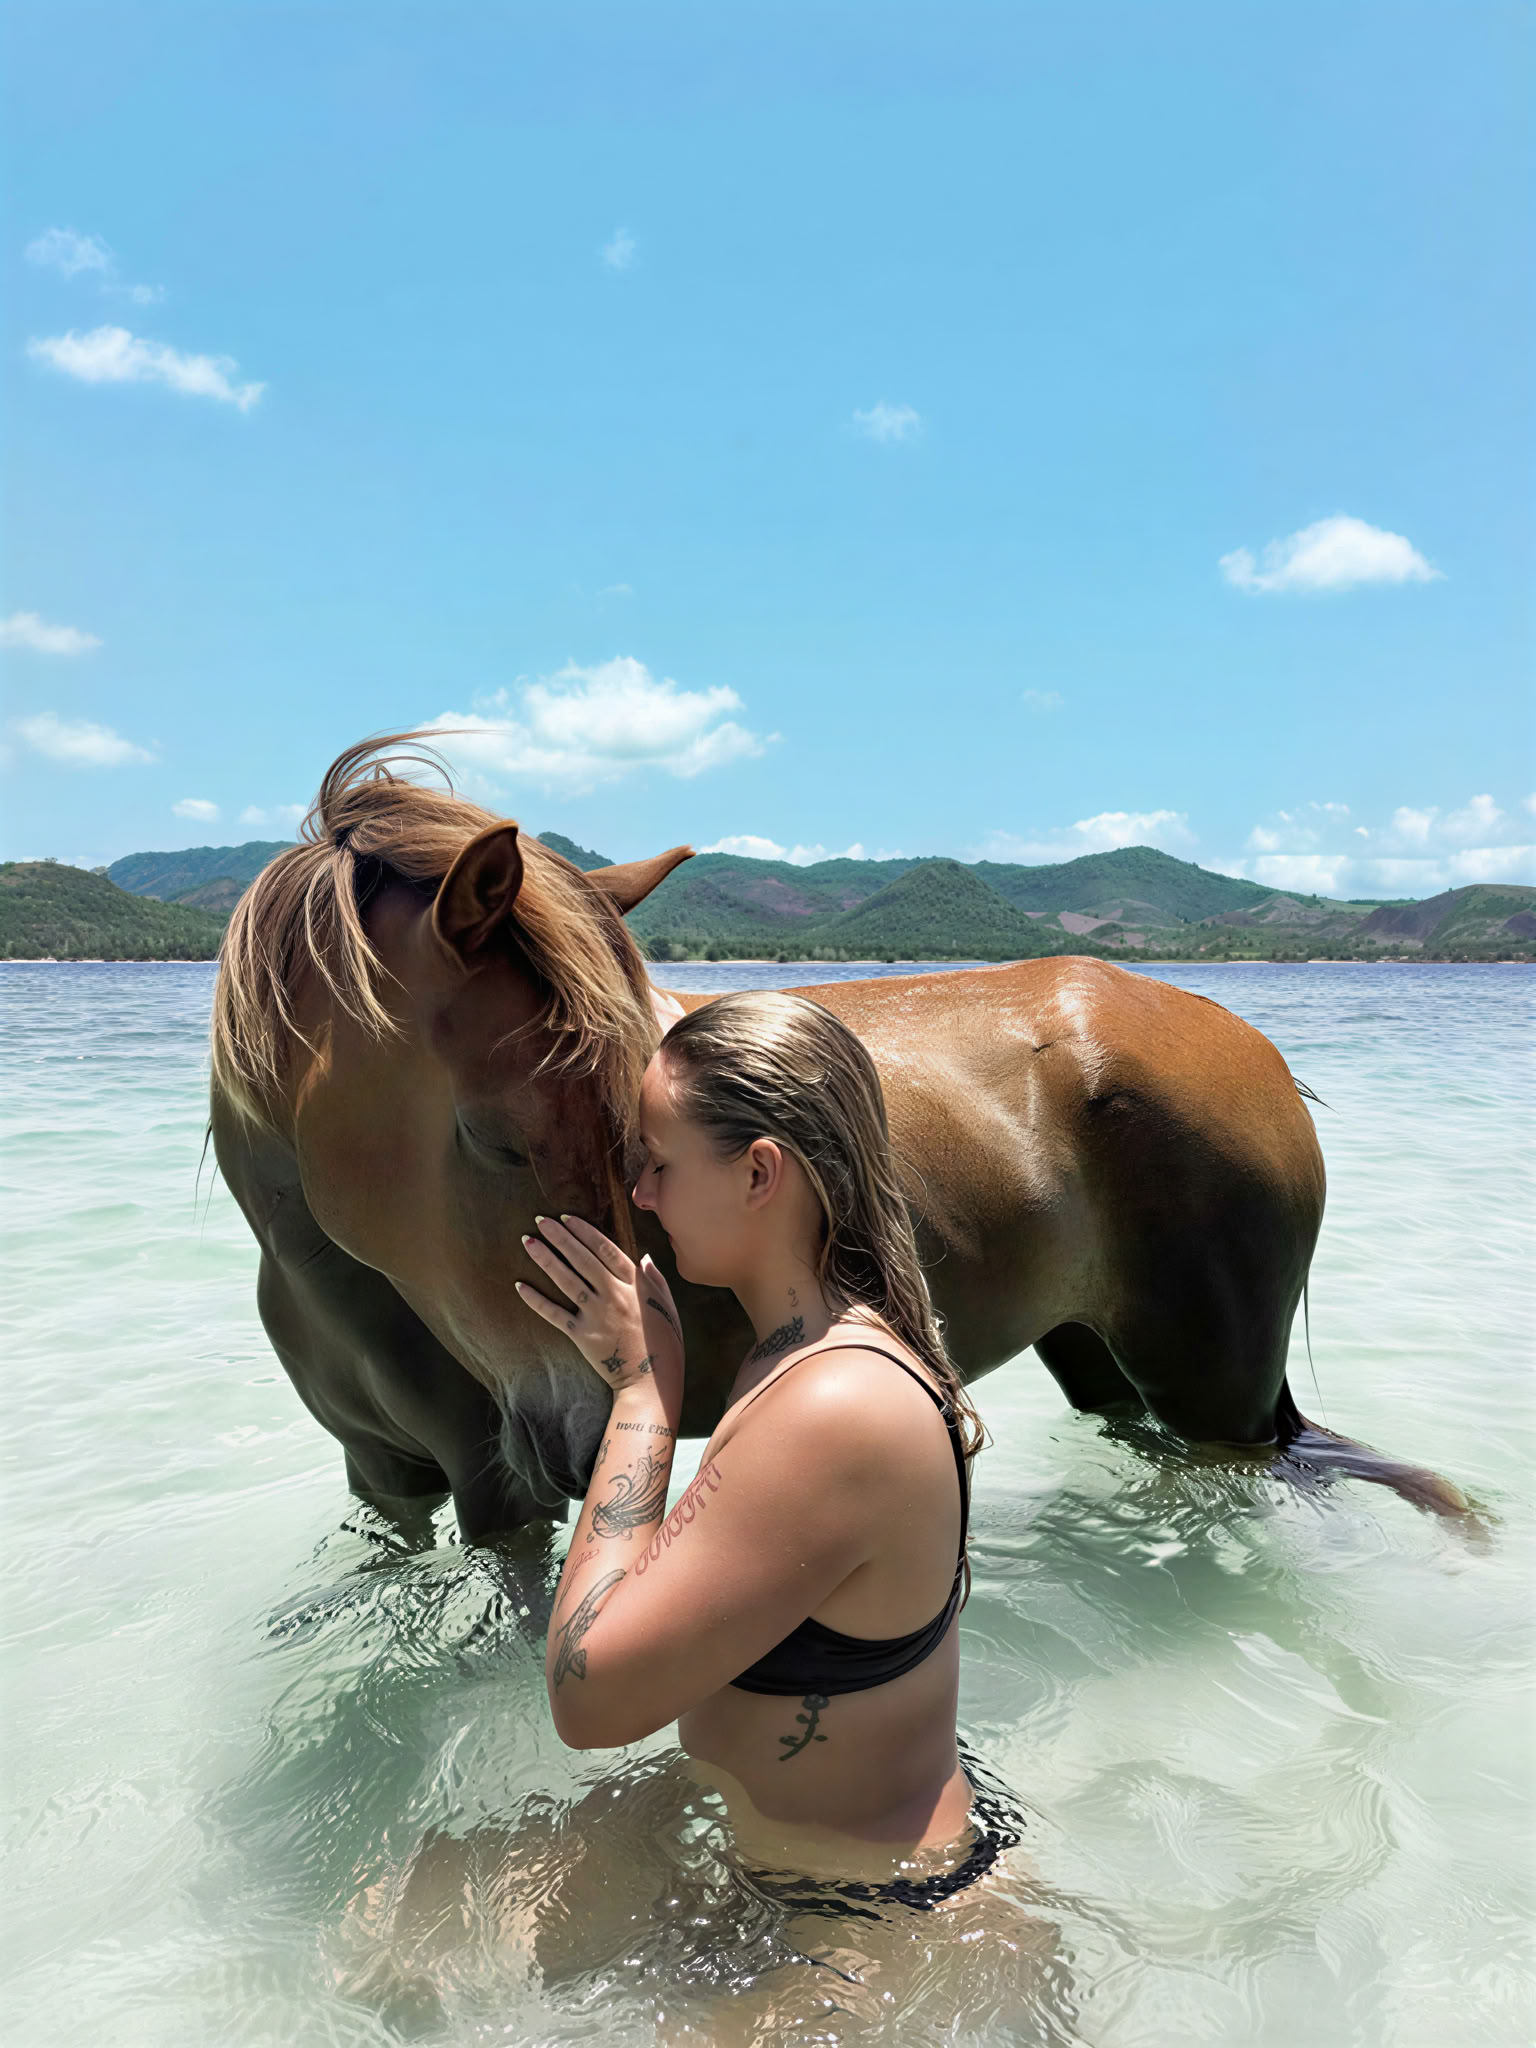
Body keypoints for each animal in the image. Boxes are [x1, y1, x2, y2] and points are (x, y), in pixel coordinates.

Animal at [209, 732, 1468, 1541]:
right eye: (494, 1134)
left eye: (628, 1121)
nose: (596, 1410)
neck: (331, 1271)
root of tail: (1257, 1051)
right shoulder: (386, 1477)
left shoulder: (498, 1494)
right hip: (1097, 1351)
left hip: (1215, 1386)